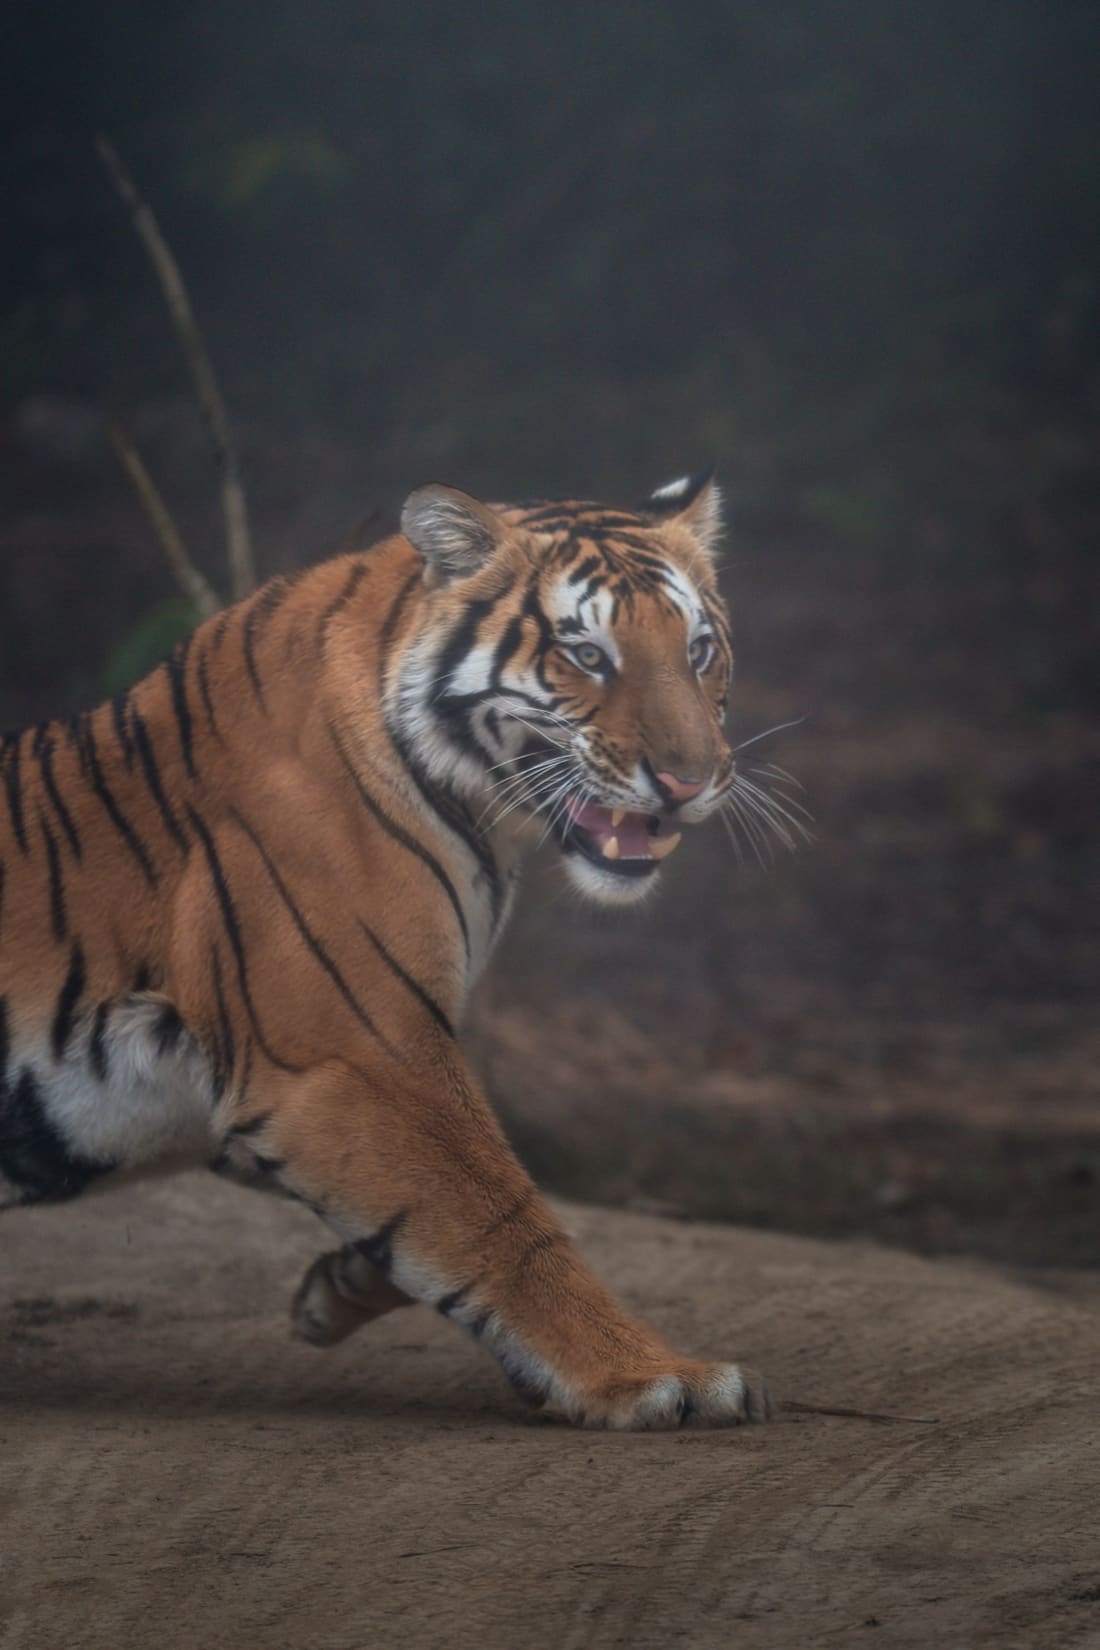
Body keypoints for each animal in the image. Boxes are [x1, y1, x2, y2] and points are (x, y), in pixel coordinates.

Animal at [0, 466, 770, 1429]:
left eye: (699, 649)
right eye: (588, 655)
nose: (690, 781)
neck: (485, 815)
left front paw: (333, 1292)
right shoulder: (356, 1053)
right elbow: (502, 1216)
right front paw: (655, 1377)